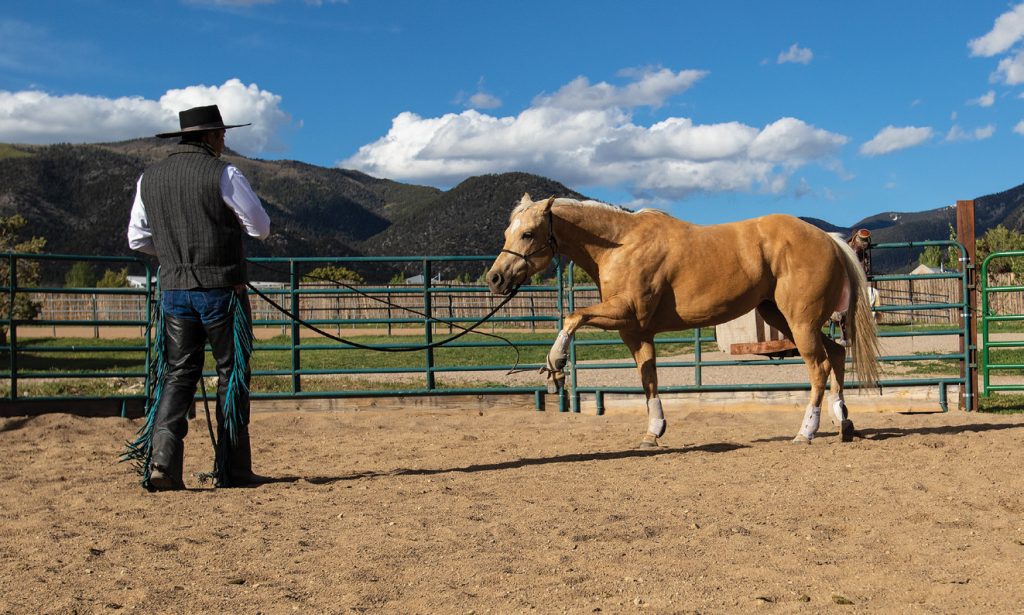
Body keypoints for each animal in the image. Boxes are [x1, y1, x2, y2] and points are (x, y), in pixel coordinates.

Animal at [487, 194, 881, 446]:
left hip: (799, 322)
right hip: (786, 318)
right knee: (836, 354)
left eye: (528, 233)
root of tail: (828, 239)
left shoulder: (625, 312)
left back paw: (806, 432)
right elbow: (648, 380)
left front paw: (555, 366)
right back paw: (842, 421)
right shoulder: (636, 332)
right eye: (506, 232)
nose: (495, 278)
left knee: (819, 367)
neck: (620, 244)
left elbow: (572, 316)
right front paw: (653, 432)